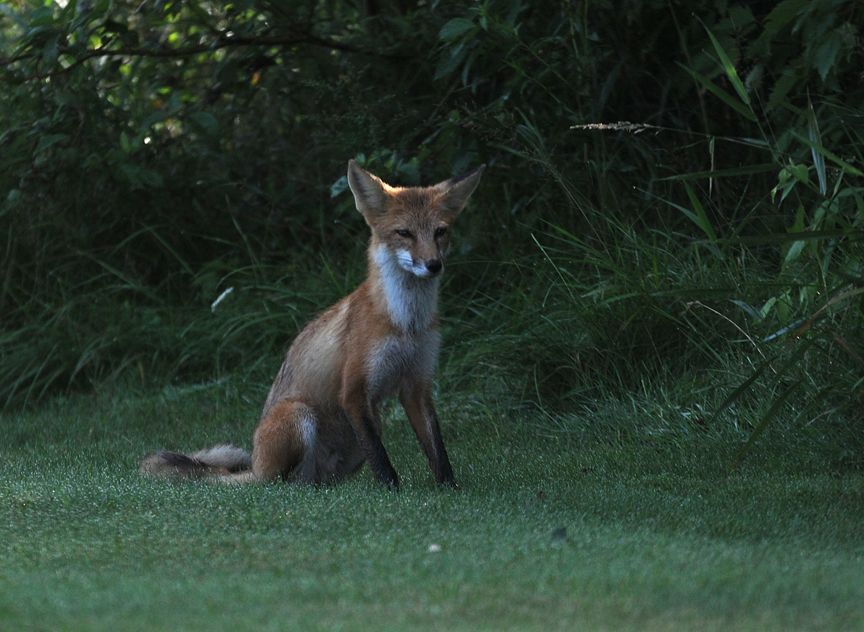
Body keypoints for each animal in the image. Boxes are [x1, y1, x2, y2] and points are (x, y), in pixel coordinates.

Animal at [140, 159, 484, 489]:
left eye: (440, 232)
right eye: (404, 233)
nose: (434, 265)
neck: (405, 323)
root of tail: (256, 465)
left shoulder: (417, 384)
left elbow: (437, 449)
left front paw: (450, 489)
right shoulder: (354, 389)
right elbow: (381, 458)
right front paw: (392, 491)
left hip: (368, 425)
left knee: (314, 482)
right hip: (299, 414)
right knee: (281, 483)